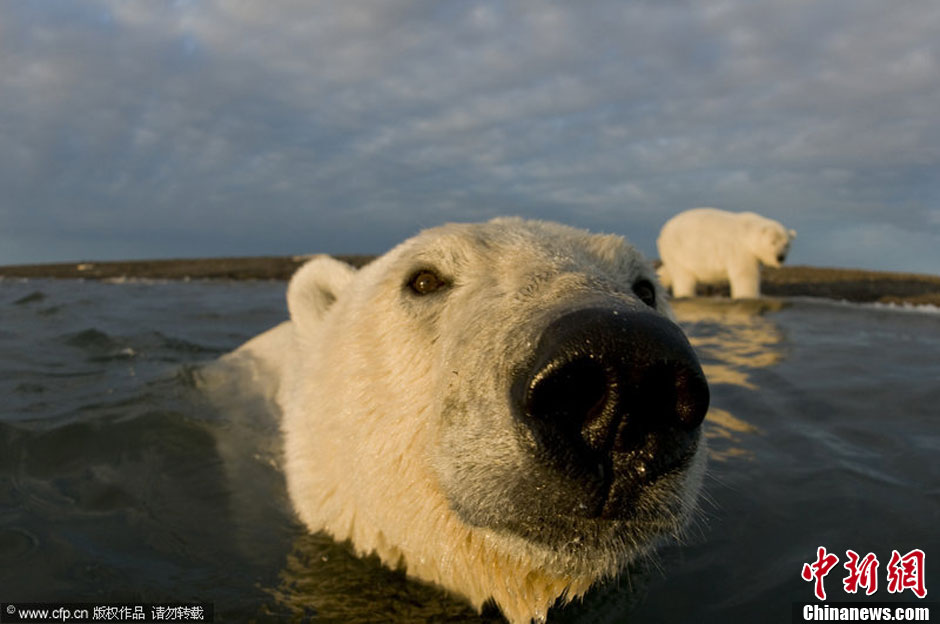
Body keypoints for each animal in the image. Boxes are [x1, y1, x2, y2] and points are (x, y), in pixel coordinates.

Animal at [656, 207, 796, 300]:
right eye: (773, 242)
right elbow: (745, 274)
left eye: (786, 244)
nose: (780, 257)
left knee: (669, 270)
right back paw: (686, 294)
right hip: (678, 249)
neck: (748, 232)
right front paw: (749, 296)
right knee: (683, 276)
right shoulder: (739, 249)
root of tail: (663, 232)